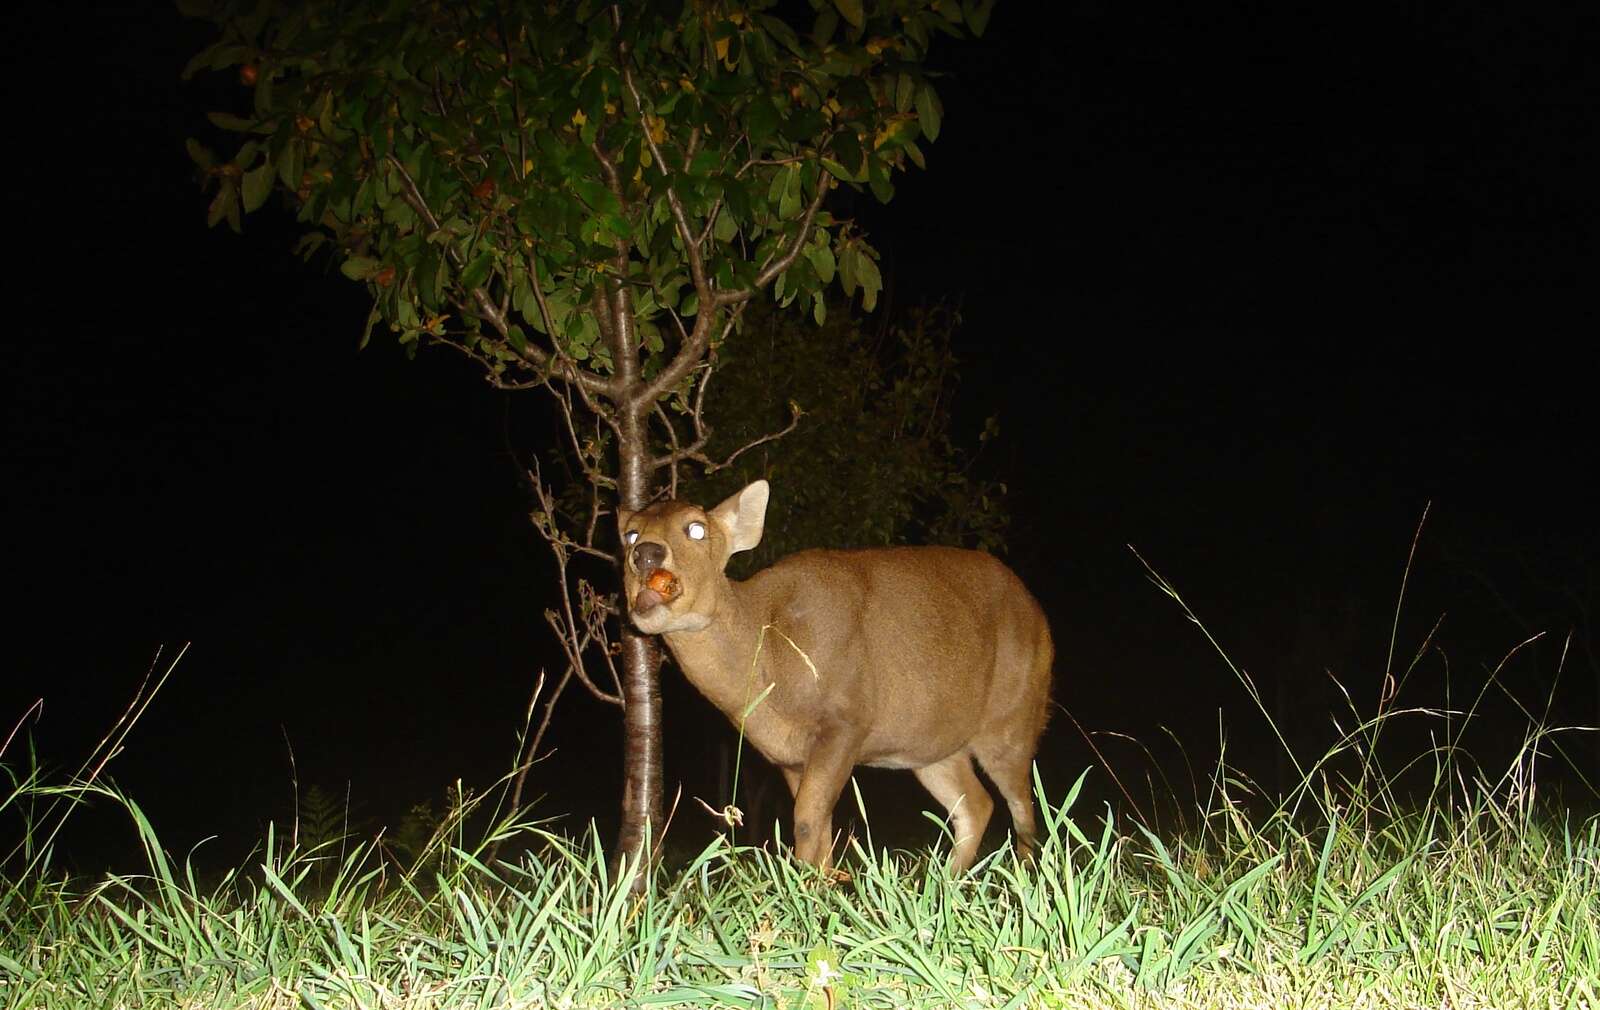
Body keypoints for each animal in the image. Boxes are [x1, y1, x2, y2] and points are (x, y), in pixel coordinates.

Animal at [620, 479, 1054, 874]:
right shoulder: (791, 756)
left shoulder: (847, 718)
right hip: (932, 745)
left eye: (696, 528)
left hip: (1013, 718)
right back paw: (946, 882)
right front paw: (818, 885)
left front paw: (806, 890)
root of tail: (1040, 618)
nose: (646, 554)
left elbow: (807, 820)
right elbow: (817, 825)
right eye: (631, 534)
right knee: (976, 805)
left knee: (1024, 809)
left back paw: (1021, 877)